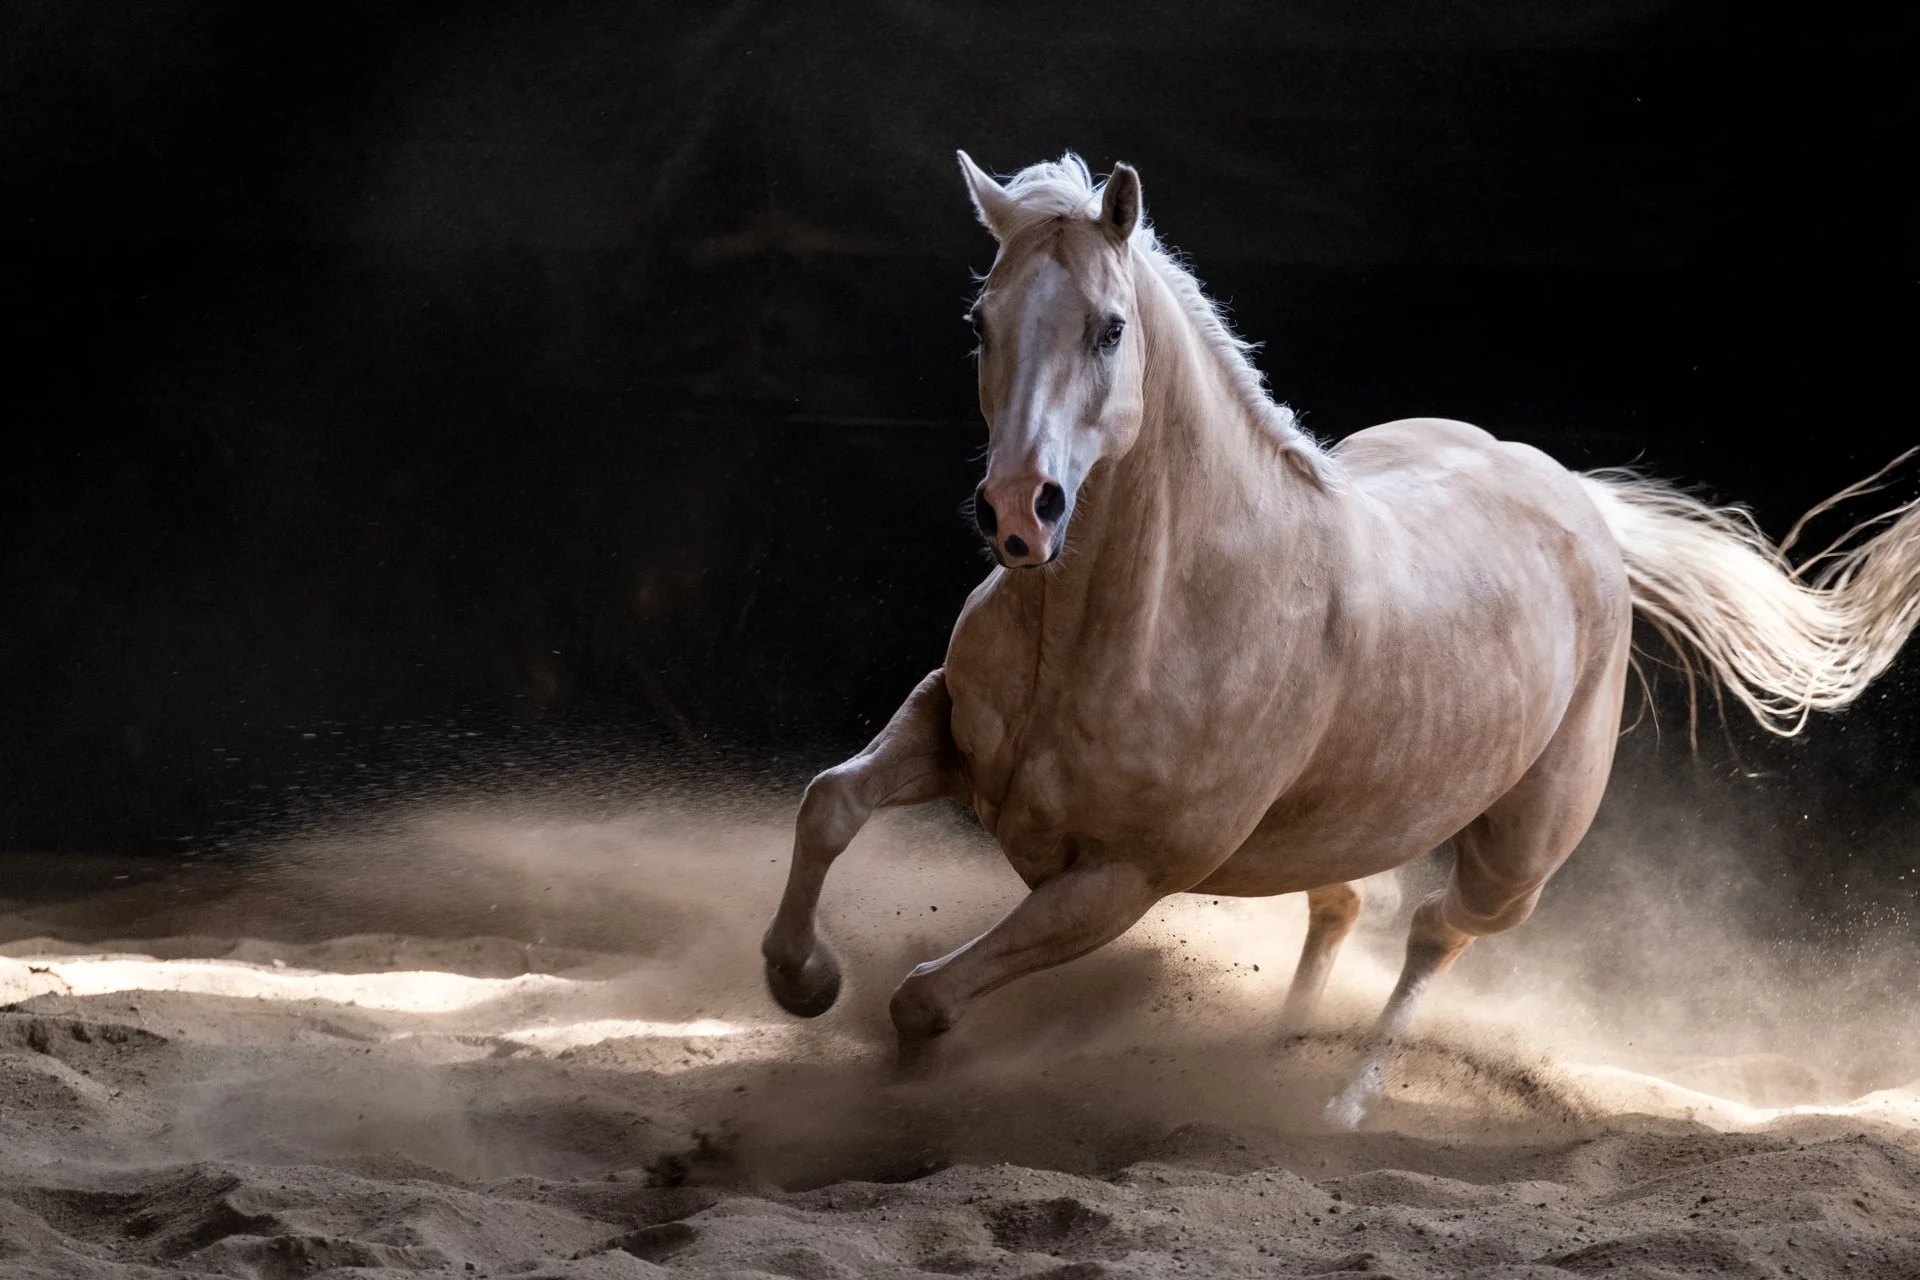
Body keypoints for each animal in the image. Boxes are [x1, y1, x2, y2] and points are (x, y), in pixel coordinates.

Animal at [762, 152, 1920, 1123]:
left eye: (1108, 327)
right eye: (980, 321)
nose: (1019, 511)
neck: (1139, 618)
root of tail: (1576, 499)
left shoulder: (1121, 878)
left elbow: (923, 996)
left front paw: (891, 1088)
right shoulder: (950, 733)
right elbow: (829, 803)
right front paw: (802, 979)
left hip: (1517, 858)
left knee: (1438, 929)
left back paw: (1340, 1107)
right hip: (1339, 822)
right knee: (1349, 901)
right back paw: (1274, 1051)